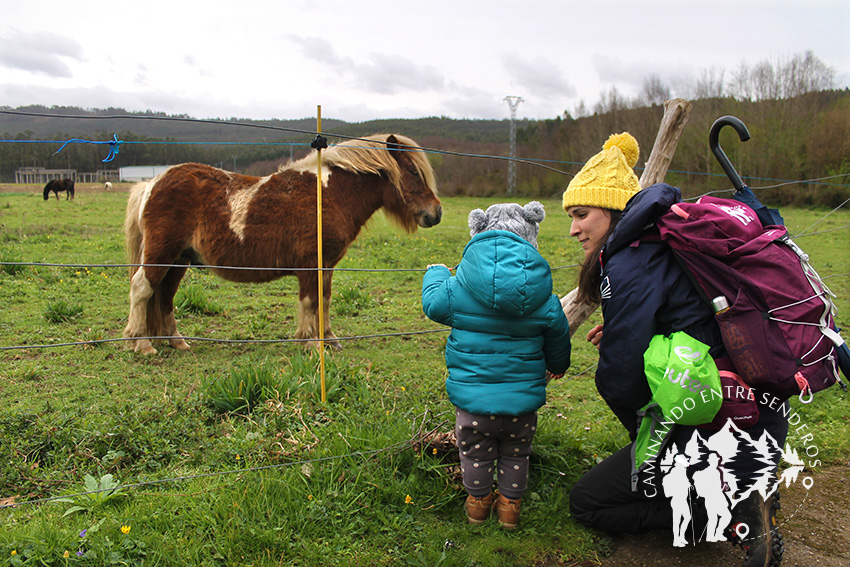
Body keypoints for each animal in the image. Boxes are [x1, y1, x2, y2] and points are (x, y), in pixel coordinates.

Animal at [124, 134, 444, 356]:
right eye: (412, 172)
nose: (436, 213)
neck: (329, 194)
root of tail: (152, 183)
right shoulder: (310, 264)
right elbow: (311, 301)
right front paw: (311, 343)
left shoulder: (326, 266)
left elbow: (325, 300)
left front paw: (330, 340)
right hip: (161, 253)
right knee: (142, 288)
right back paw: (142, 343)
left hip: (179, 260)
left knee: (164, 296)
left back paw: (177, 342)